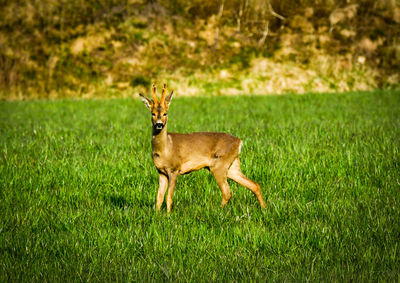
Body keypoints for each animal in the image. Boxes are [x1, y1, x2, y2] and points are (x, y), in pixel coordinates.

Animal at [139, 83, 268, 212]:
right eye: (153, 113)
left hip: (219, 165)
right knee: (254, 184)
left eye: (165, 113)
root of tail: (239, 142)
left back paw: (218, 211)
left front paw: (168, 215)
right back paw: (264, 208)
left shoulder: (174, 169)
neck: (164, 148)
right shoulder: (161, 172)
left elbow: (169, 197)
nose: (159, 124)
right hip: (233, 166)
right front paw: (157, 214)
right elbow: (159, 198)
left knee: (227, 192)